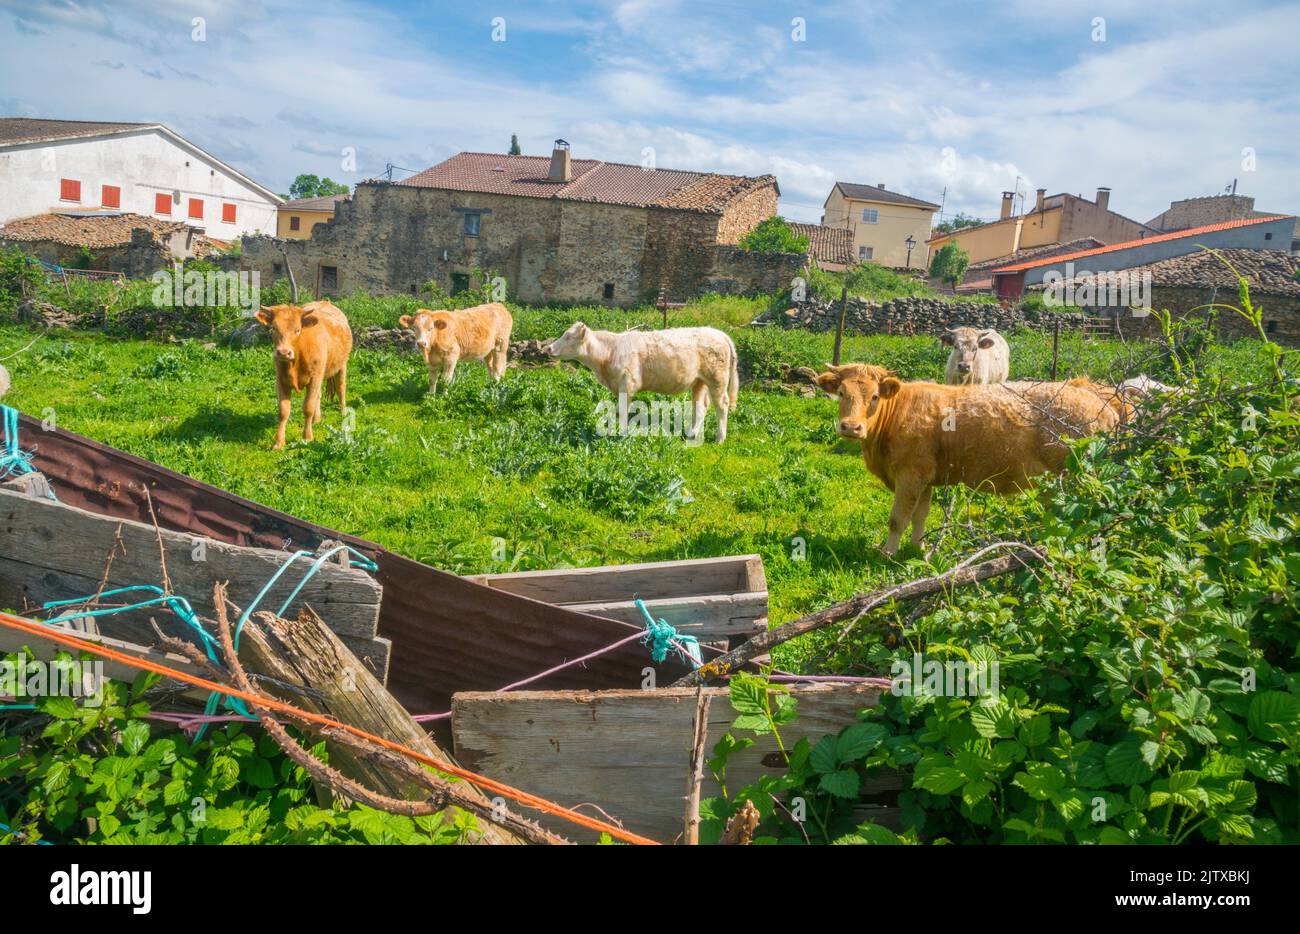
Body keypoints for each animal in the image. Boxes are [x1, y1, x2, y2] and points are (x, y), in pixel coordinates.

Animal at [254, 301, 353, 452]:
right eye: (274, 328)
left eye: (298, 330)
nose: (284, 352)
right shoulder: (280, 380)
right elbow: (283, 411)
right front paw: (279, 442)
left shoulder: (314, 378)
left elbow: (308, 407)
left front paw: (307, 438)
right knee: (319, 395)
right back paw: (316, 419)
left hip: (341, 365)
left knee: (341, 388)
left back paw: (343, 413)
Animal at [543, 323, 738, 444]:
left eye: (568, 337)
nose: (549, 348)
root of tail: (719, 333)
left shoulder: (627, 385)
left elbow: (622, 412)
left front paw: (621, 435)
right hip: (699, 381)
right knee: (701, 407)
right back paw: (692, 433)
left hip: (717, 379)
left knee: (722, 405)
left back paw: (720, 438)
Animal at [811, 364, 1128, 556]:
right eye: (841, 393)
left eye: (875, 396)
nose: (851, 427)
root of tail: (1095, 393)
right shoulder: (925, 478)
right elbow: (920, 516)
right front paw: (918, 550)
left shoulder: (909, 476)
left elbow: (897, 519)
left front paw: (887, 554)